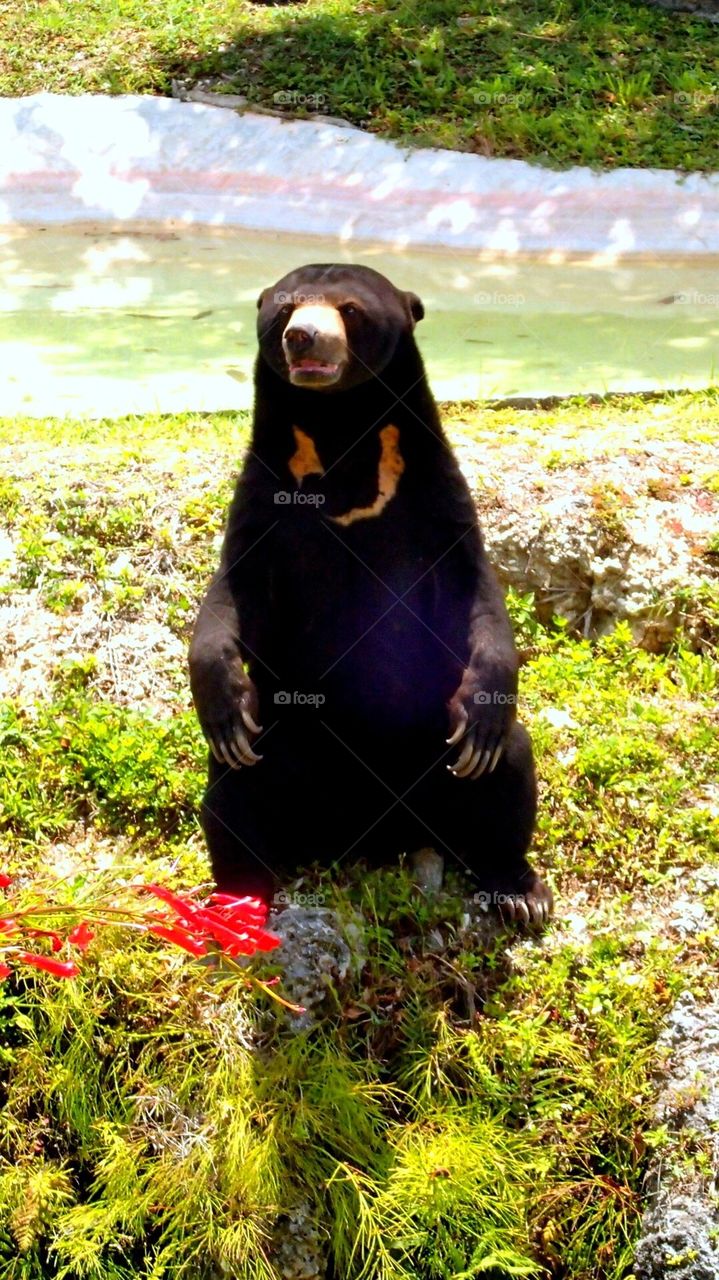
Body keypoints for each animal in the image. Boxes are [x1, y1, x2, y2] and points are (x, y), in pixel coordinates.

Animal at [188, 263, 552, 925]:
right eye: (285, 310)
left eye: (350, 310)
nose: (302, 338)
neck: (341, 433)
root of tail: (374, 839)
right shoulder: (264, 496)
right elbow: (232, 595)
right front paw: (224, 701)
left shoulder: (431, 488)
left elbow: (476, 595)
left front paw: (485, 701)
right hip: (290, 753)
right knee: (234, 786)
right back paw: (240, 897)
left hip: (436, 757)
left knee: (507, 768)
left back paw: (519, 891)